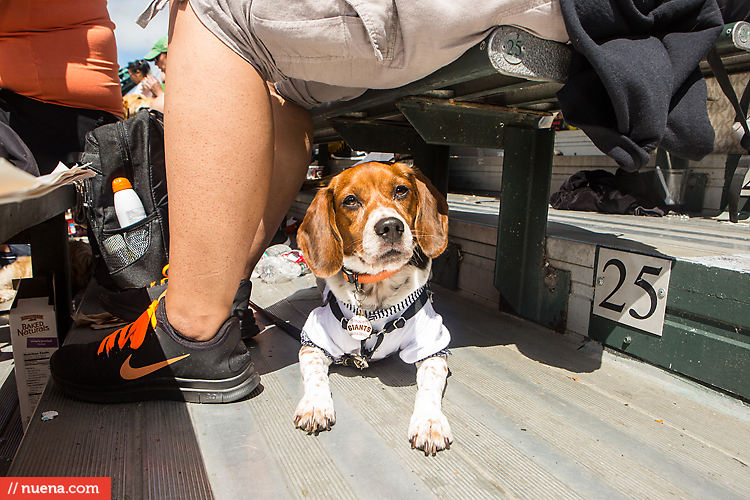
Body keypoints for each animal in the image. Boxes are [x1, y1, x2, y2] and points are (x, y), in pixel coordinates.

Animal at [296, 162, 456, 456]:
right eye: (350, 200)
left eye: (401, 190)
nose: (391, 226)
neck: (376, 288)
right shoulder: (313, 340)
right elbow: (315, 375)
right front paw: (315, 404)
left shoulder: (433, 345)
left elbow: (429, 386)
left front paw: (429, 422)